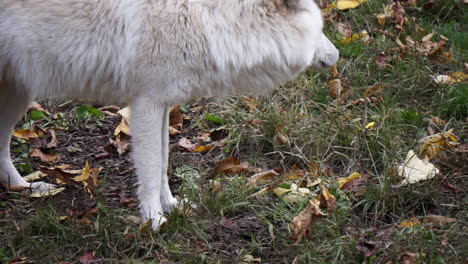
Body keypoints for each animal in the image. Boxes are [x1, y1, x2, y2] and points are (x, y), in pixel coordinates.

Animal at [0, 0, 336, 230]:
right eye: (320, 29)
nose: (336, 56)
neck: (211, 16)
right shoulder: (146, 103)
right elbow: (150, 169)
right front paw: (154, 221)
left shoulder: (161, 103)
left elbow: (162, 164)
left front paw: (172, 206)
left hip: (16, 96)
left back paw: (25, 188)